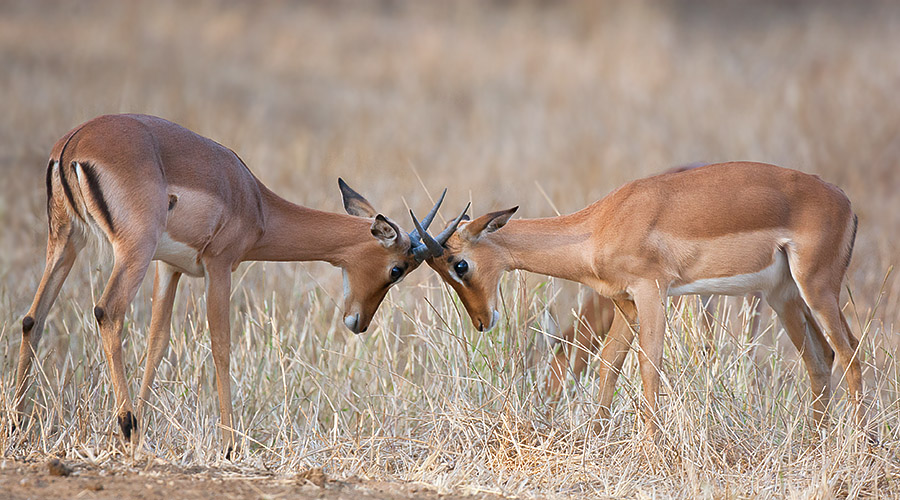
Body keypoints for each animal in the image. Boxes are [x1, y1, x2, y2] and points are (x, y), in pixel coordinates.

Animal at [15, 114, 466, 456]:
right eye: (397, 269)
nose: (359, 323)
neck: (256, 202)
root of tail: (73, 144)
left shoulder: (169, 268)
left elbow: (157, 343)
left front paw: (144, 435)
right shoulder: (219, 266)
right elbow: (221, 345)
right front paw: (229, 445)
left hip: (67, 241)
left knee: (33, 318)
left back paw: (21, 424)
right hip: (131, 250)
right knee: (107, 310)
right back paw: (124, 425)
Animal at [421, 162, 867, 438]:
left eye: (460, 264)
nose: (482, 321)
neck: (601, 224)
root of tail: (844, 200)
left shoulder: (652, 293)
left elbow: (649, 367)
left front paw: (653, 452)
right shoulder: (625, 303)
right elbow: (609, 364)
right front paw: (596, 440)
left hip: (817, 288)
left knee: (850, 352)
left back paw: (860, 447)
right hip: (784, 296)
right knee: (820, 358)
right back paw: (814, 444)